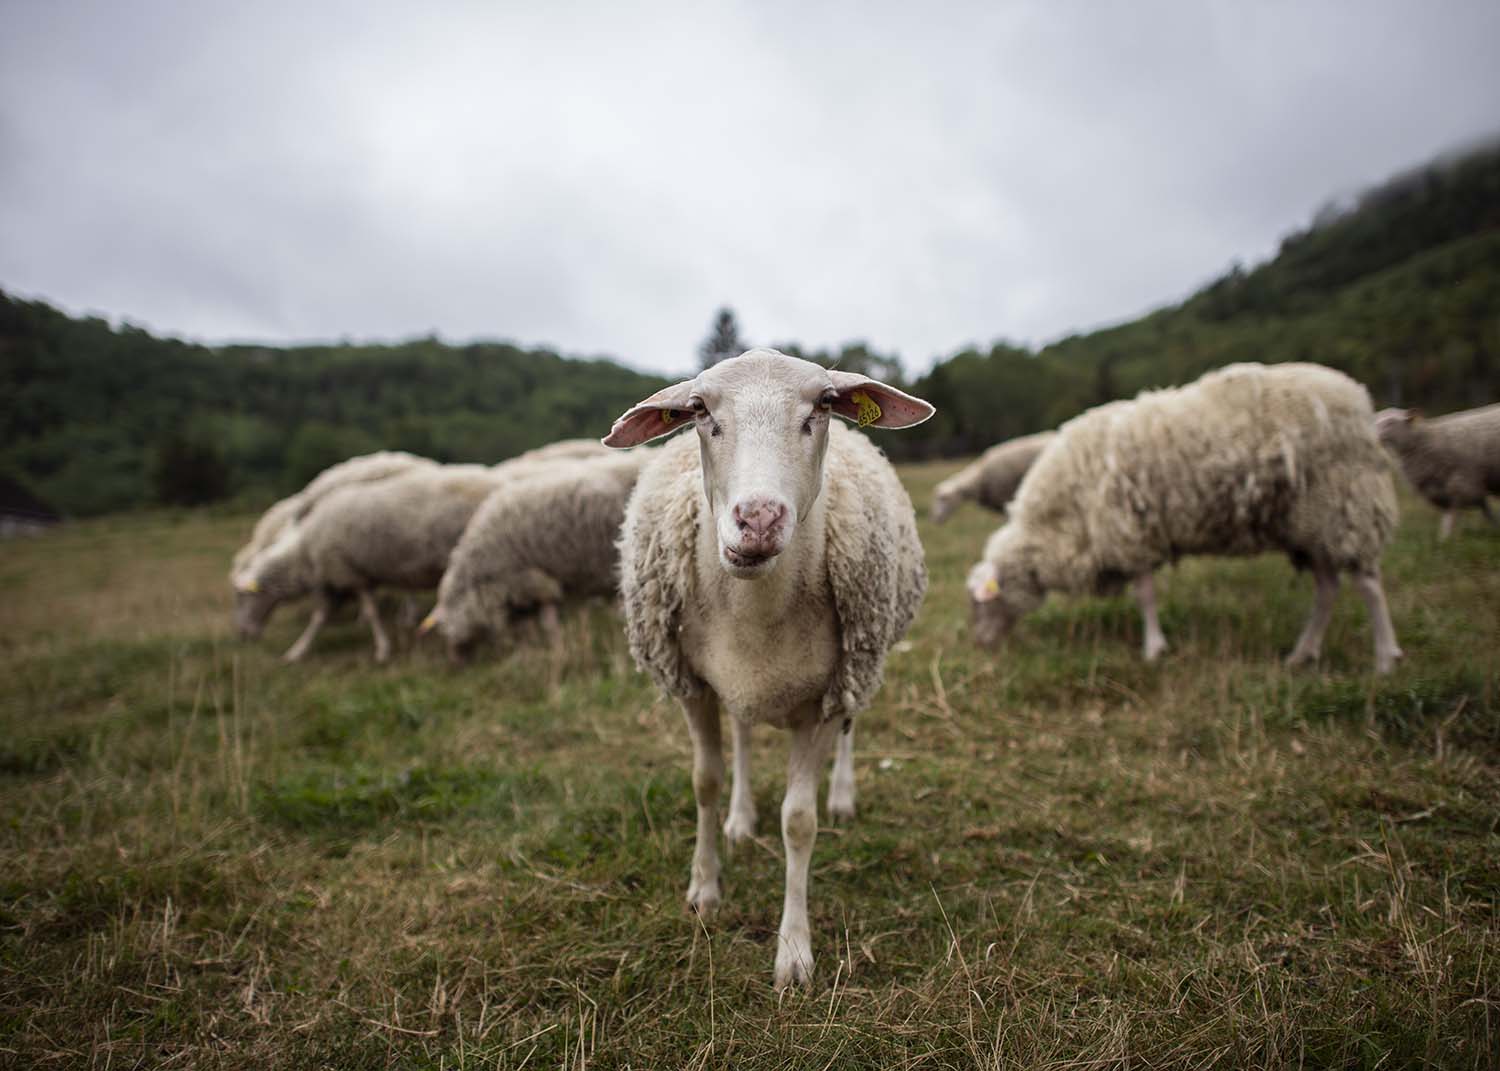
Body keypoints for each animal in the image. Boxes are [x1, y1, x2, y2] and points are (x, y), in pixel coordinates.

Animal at [233, 464, 508, 662]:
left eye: (243, 597)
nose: (243, 635)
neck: (305, 552)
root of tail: (497, 483)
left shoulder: (348, 572)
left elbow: (364, 613)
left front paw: (382, 649)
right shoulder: (341, 579)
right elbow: (321, 617)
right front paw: (298, 650)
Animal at [604, 347, 933, 989]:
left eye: (824, 405)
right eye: (698, 410)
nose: (758, 518)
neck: (755, 607)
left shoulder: (826, 698)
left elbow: (799, 821)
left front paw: (794, 951)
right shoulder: (694, 685)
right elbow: (704, 782)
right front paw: (704, 889)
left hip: (861, 665)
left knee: (850, 733)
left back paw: (843, 796)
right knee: (742, 733)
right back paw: (740, 818)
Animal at [966, 362, 1404, 673]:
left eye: (981, 602)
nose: (980, 645)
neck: (1057, 524)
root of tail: (1358, 399)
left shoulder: (1129, 534)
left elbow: (1144, 596)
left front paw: (1153, 648)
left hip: (1346, 503)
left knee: (1367, 585)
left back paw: (1385, 659)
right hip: (1308, 525)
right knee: (1328, 588)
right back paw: (1303, 653)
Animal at [1374, 404, 1500, 540]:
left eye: (1390, 422)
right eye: (1376, 419)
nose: (1372, 436)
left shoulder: (1463, 482)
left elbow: (1455, 513)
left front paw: (1445, 538)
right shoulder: (1445, 488)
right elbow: (1479, 508)